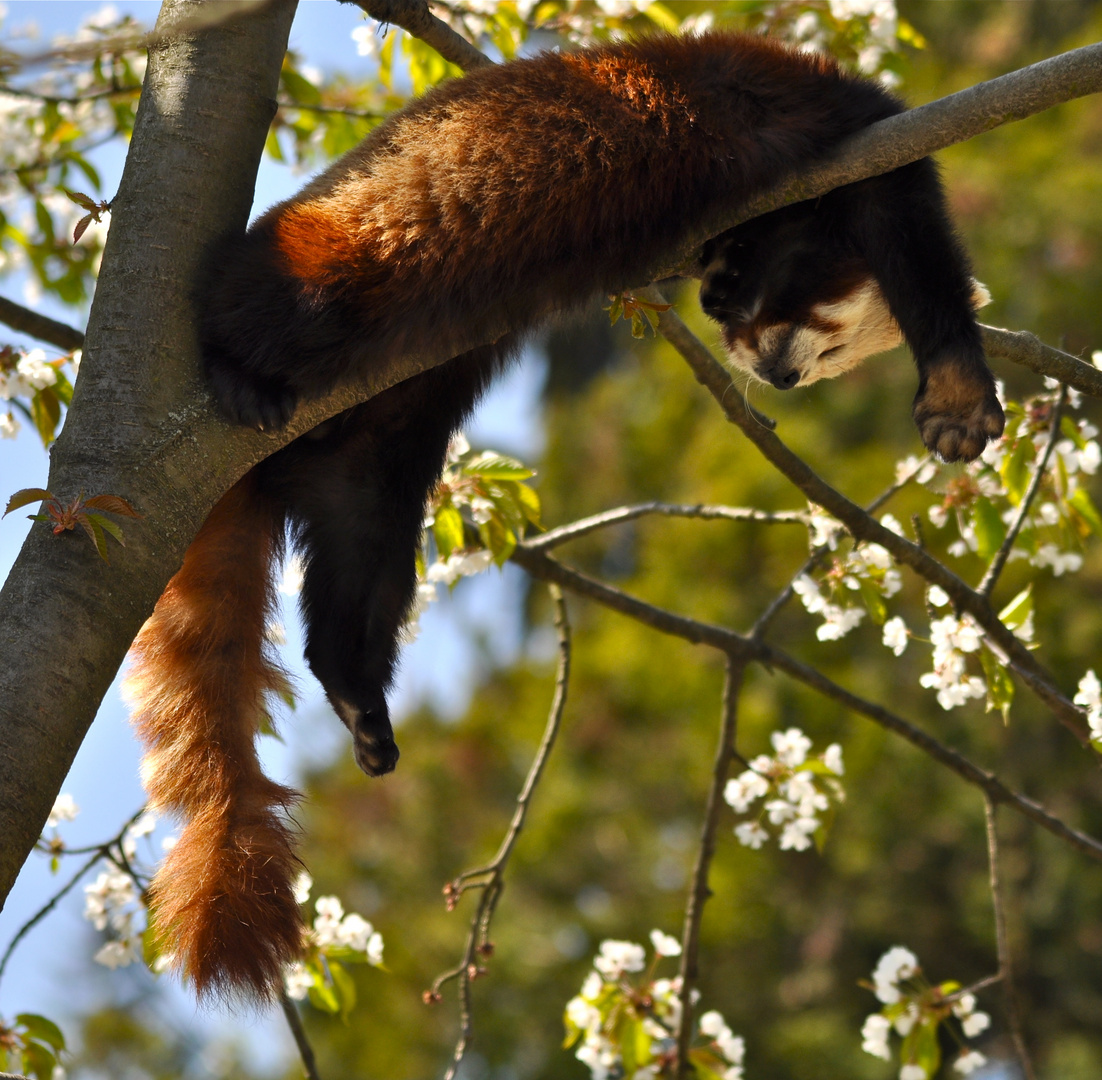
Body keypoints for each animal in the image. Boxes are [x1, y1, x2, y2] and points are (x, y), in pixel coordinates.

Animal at [125, 27, 1005, 1005]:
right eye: (829, 342)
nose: (776, 378)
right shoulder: (808, 118)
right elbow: (902, 215)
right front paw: (957, 387)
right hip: (328, 265)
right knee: (272, 302)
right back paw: (235, 369)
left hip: (378, 444)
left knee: (367, 551)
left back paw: (357, 691)